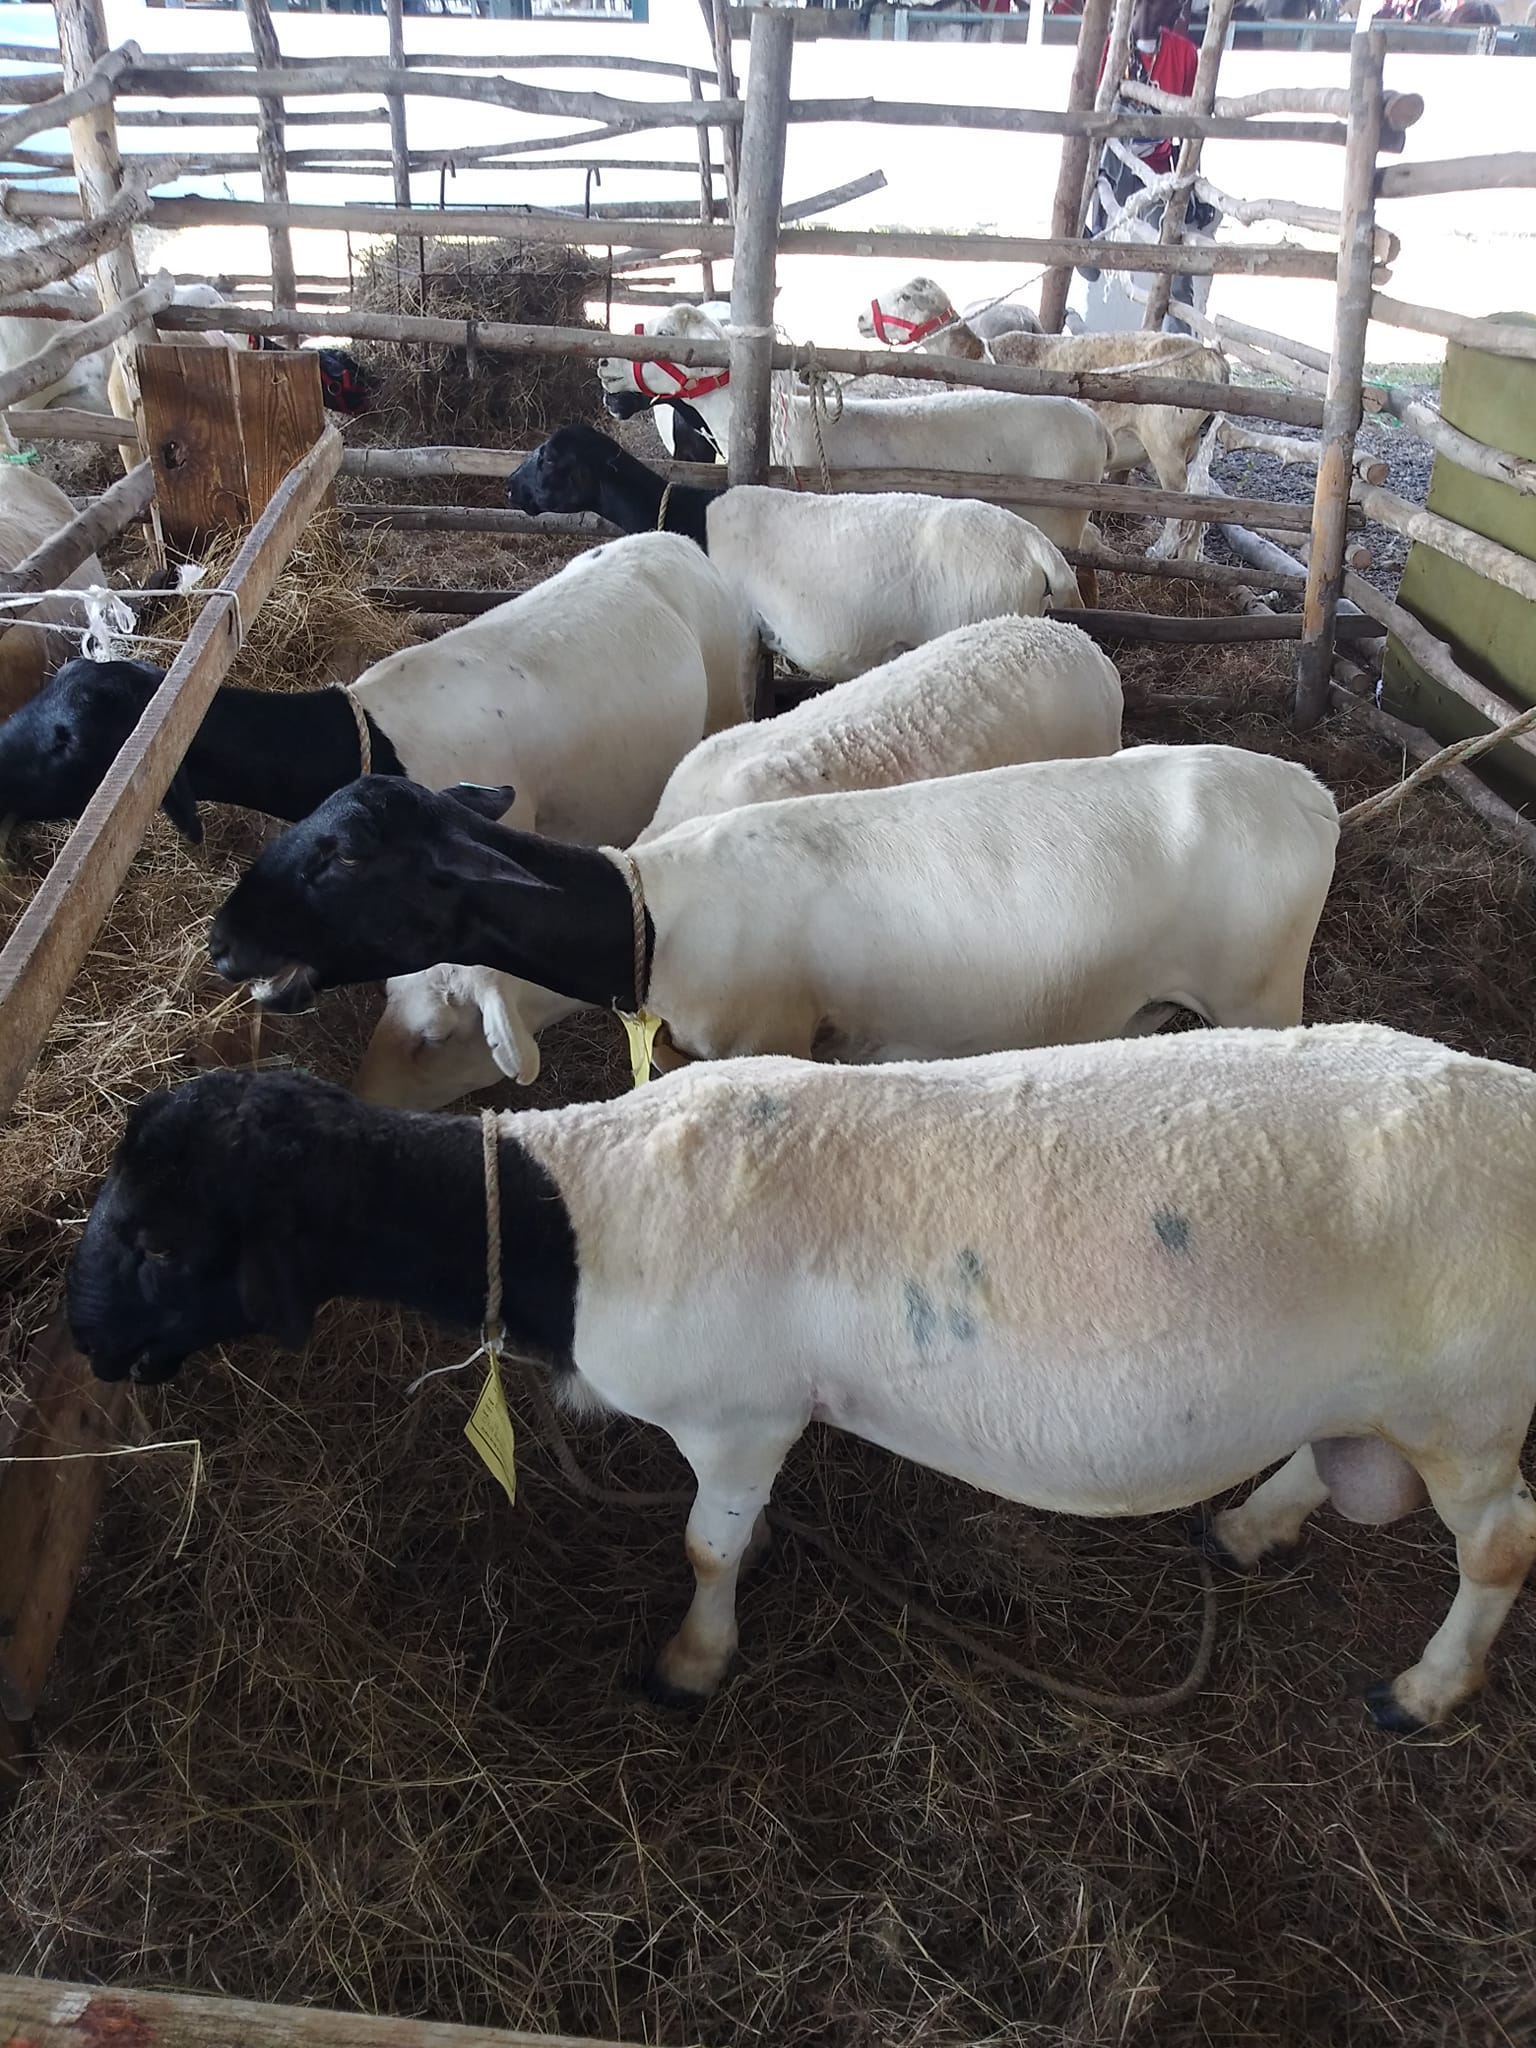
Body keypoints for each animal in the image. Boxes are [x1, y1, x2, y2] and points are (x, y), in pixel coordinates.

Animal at [65, 1020, 1536, 1732]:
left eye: (160, 1240)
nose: (85, 1341)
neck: (577, 1212)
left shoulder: (739, 1416)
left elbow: (707, 1546)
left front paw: (690, 1665)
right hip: (1385, 1393)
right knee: (1343, 1460)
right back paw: (1248, 1524)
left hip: (1471, 1401)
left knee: (1501, 1545)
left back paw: (1424, 1692)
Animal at [208, 747, 1337, 1080]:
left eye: (344, 856)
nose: (220, 942)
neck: (651, 917)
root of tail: (1312, 792)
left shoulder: (772, 1038)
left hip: (1261, 995)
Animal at [858, 277, 1231, 560]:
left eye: (906, 296)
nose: (861, 318)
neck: (977, 357)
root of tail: (1212, 357)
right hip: (1192, 445)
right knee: (1199, 513)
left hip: (1166, 443)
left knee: (1182, 512)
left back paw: (1162, 555)